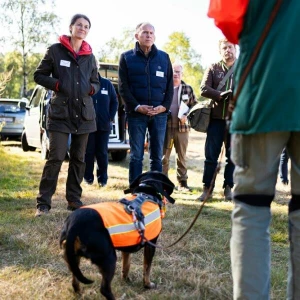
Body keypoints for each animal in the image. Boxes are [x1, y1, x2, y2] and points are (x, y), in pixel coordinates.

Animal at [59, 171, 175, 300]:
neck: (146, 192)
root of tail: (74, 225)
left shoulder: (126, 247)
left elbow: (126, 265)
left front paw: (126, 279)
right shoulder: (151, 245)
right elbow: (147, 268)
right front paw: (148, 285)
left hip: (73, 259)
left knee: (75, 282)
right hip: (109, 258)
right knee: (104, 289)